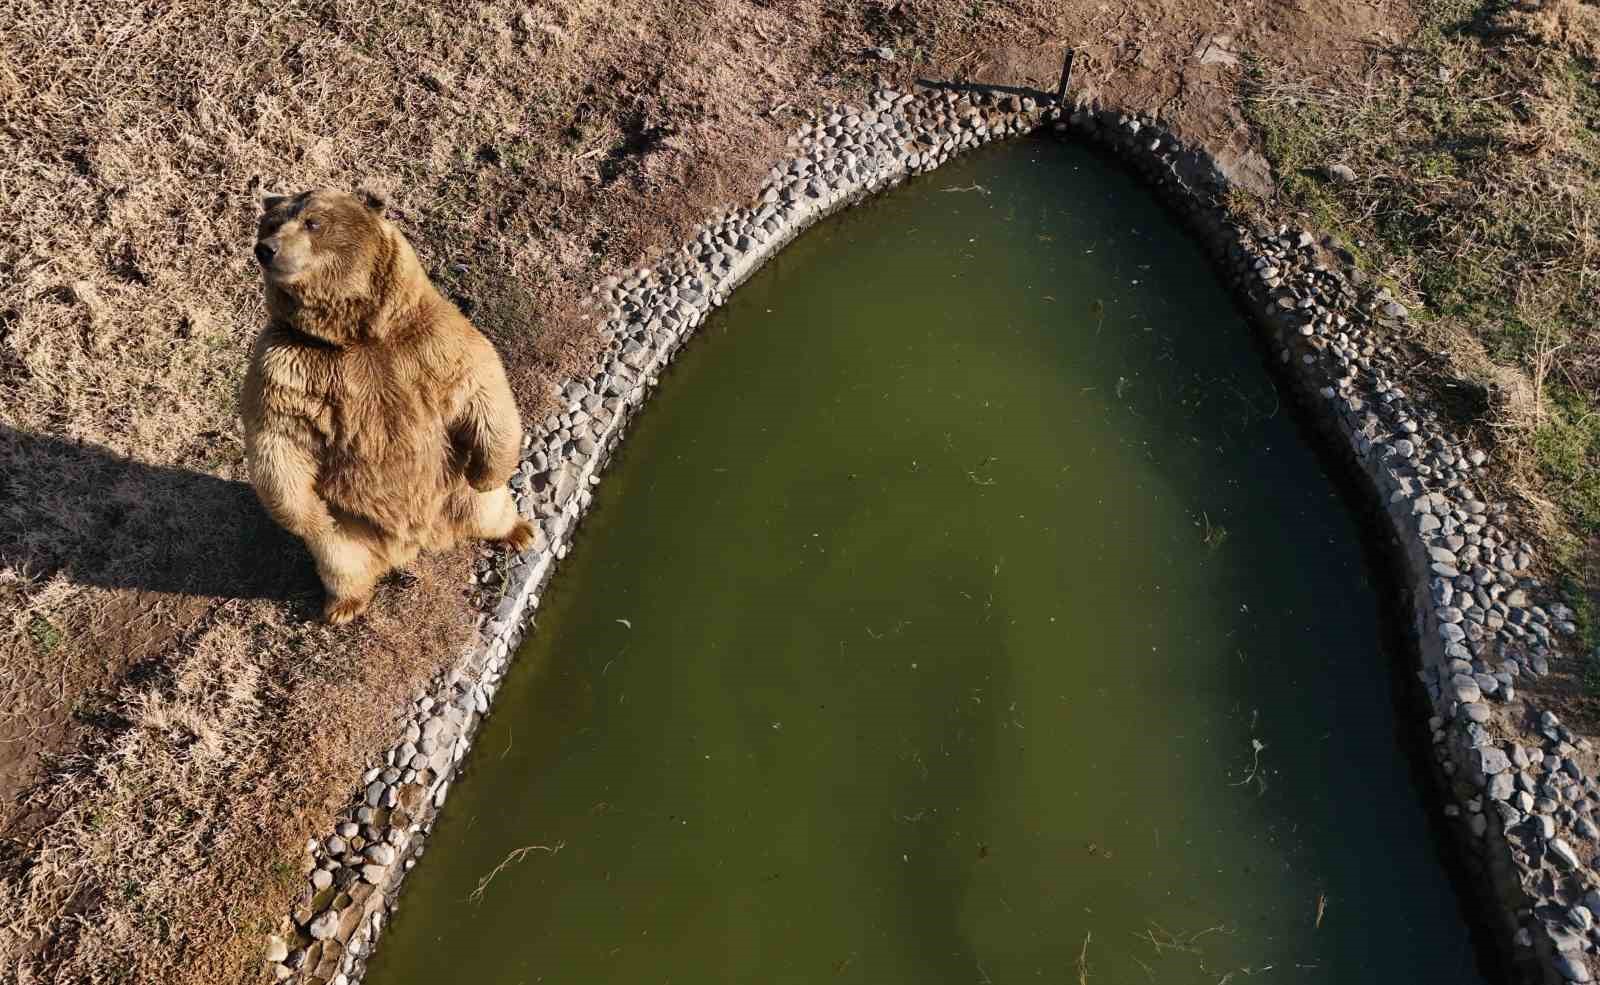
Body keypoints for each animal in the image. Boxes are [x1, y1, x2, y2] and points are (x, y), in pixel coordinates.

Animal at [240, 189, 534, 623]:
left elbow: (482, 386)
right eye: (271, 223)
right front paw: (308, 516)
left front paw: (488, 473)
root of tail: (420, 540)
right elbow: (277, 440)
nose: (266, 249)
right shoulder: (287, 366)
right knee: (339, 559)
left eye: (313, 222)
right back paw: (343, 606)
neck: (355, 334)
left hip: (456, 493)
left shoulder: (431, 341)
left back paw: (520, 531)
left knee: (490, 508)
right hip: (350, 529)